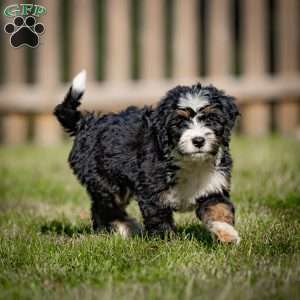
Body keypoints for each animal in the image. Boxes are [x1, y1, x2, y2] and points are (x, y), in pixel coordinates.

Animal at [54, 71, 240, 243]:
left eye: (211, 119)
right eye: (179, 123)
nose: (198, 140)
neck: (190, 162)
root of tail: (85, 123)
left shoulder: (214, 187)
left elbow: (219, 209)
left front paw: (228, 235)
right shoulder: (152, 192)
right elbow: (159, 221)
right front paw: (167, 244)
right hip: (107, 182)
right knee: (105, 208)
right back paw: (125, 229)